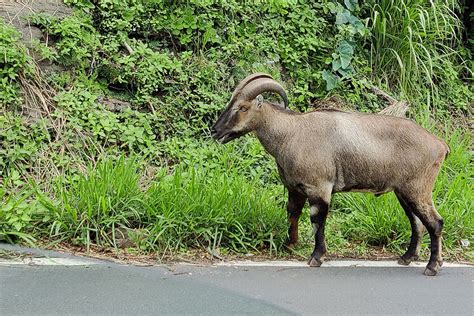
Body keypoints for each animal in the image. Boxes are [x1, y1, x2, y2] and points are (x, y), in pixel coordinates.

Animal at [213, 73, 450, 276]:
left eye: (243, 107)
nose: (216, 131)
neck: (291, 133)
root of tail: (440, 145)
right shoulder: (295, 188)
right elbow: (293, 214)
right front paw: (290, 245)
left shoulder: (319, 187)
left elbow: (317, 221)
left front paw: (316, 257)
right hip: (403, 191)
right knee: (417, 222)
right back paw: (407, 257)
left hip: (417, 189)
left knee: (435, 222)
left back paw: (432, 266)